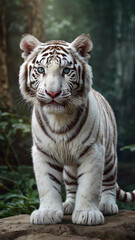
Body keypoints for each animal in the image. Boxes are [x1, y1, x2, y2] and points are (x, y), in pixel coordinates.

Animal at [19, 33, 135, 225]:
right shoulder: (43, 151)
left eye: (66, 71)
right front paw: (47, 213)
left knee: (109, 182)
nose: (52, 93)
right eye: (41, 70)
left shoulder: (93, 150)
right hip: (69, 167)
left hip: (110, 156)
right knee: (72, 185)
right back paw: (69, 205)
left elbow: (89, 186)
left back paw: (107, 205)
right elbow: (47, 184)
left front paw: (88, 214)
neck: (58, 118)